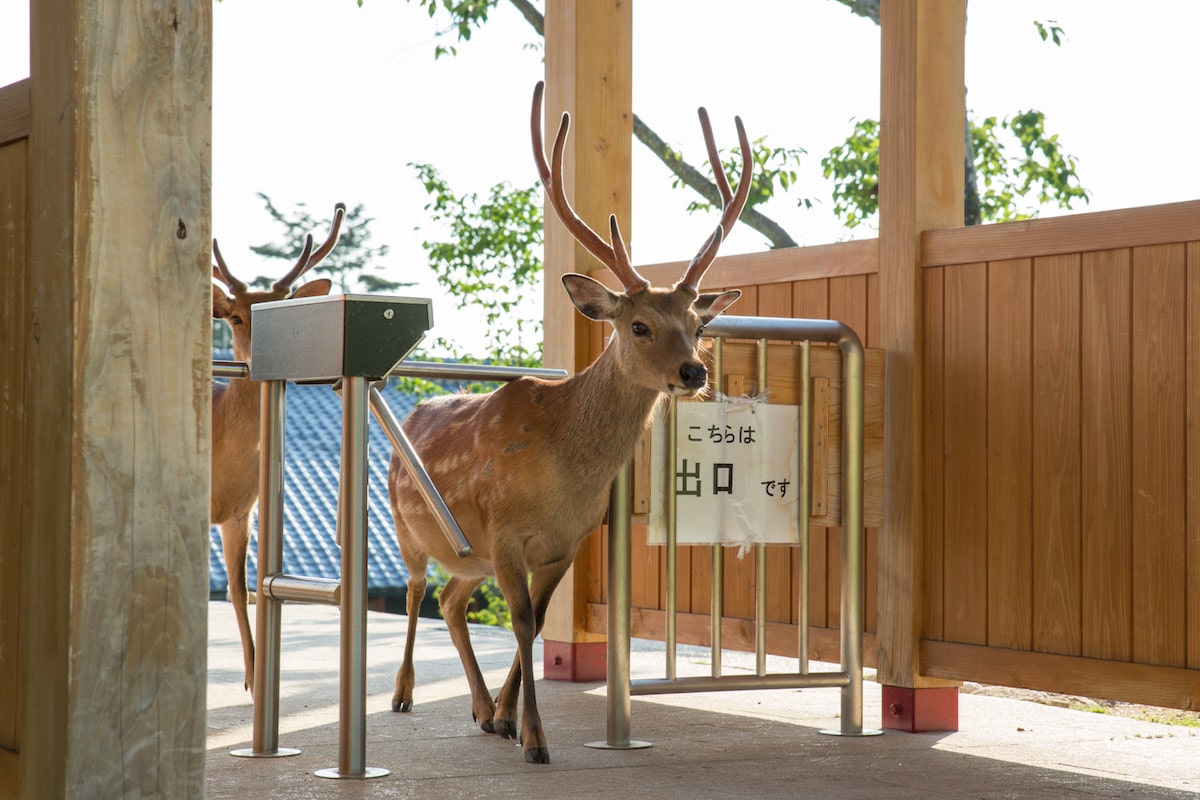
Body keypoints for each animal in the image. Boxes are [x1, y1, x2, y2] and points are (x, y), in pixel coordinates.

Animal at [386, 84, 748, 767]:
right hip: (407, 530)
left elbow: (536, 620)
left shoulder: (565, 542)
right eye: (639, 325)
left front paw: (508, 719)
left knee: (450, 600)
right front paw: (535, 739)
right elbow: (525, 624)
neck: (562, 473)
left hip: (467, 556)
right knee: (419, 593)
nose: (693, 371)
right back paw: (401, 694)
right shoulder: (504, 532)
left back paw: (480, 710)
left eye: (699, 324)